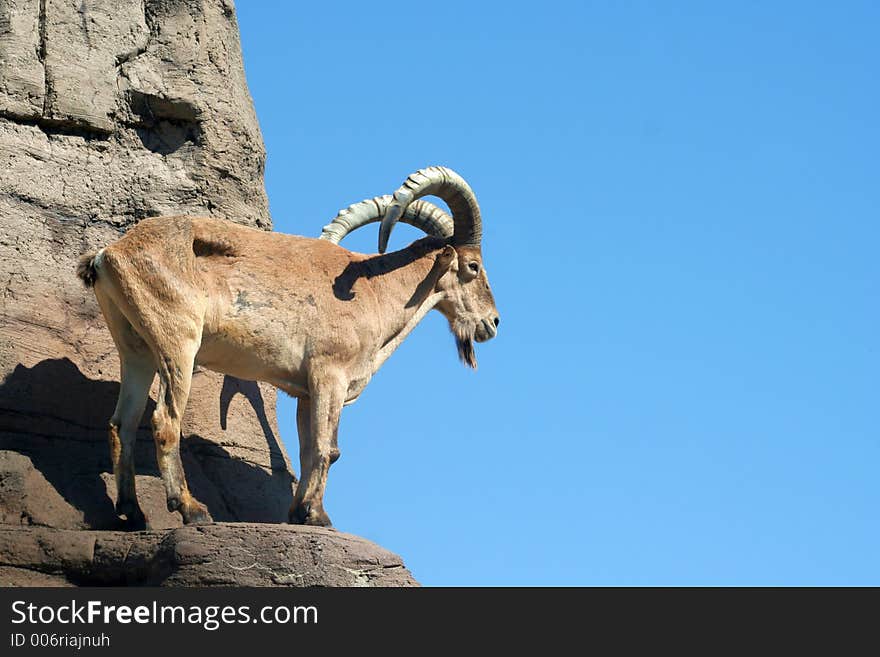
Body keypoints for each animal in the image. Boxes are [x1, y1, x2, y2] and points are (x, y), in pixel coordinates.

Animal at [75, 165, 502, 528]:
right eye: (474, 267)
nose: (492, 323)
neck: (375, 290)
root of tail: (108, 254)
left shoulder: (304, 392)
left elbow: (308, 448)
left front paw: (300, 512)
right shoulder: (329, 375)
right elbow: (329, 448)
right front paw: (318, 517)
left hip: (136, 351)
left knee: (122, 423)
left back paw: (131, 514)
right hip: (177, 342)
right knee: (165, 420)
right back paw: (191, 510)